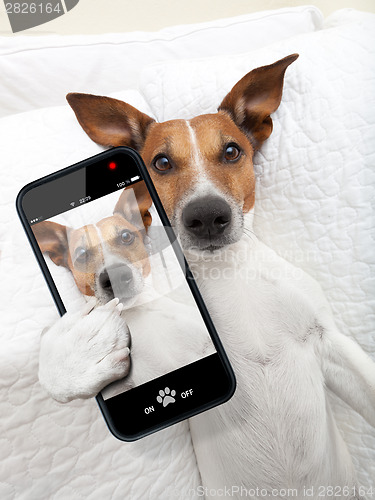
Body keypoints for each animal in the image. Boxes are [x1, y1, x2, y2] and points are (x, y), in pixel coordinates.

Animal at [39, 54, 375, 496]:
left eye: (232, 151)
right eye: (161, 163)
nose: (207, 216)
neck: (228, 273)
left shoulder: (328, 341)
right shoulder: (166, 379)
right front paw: (78, 353)